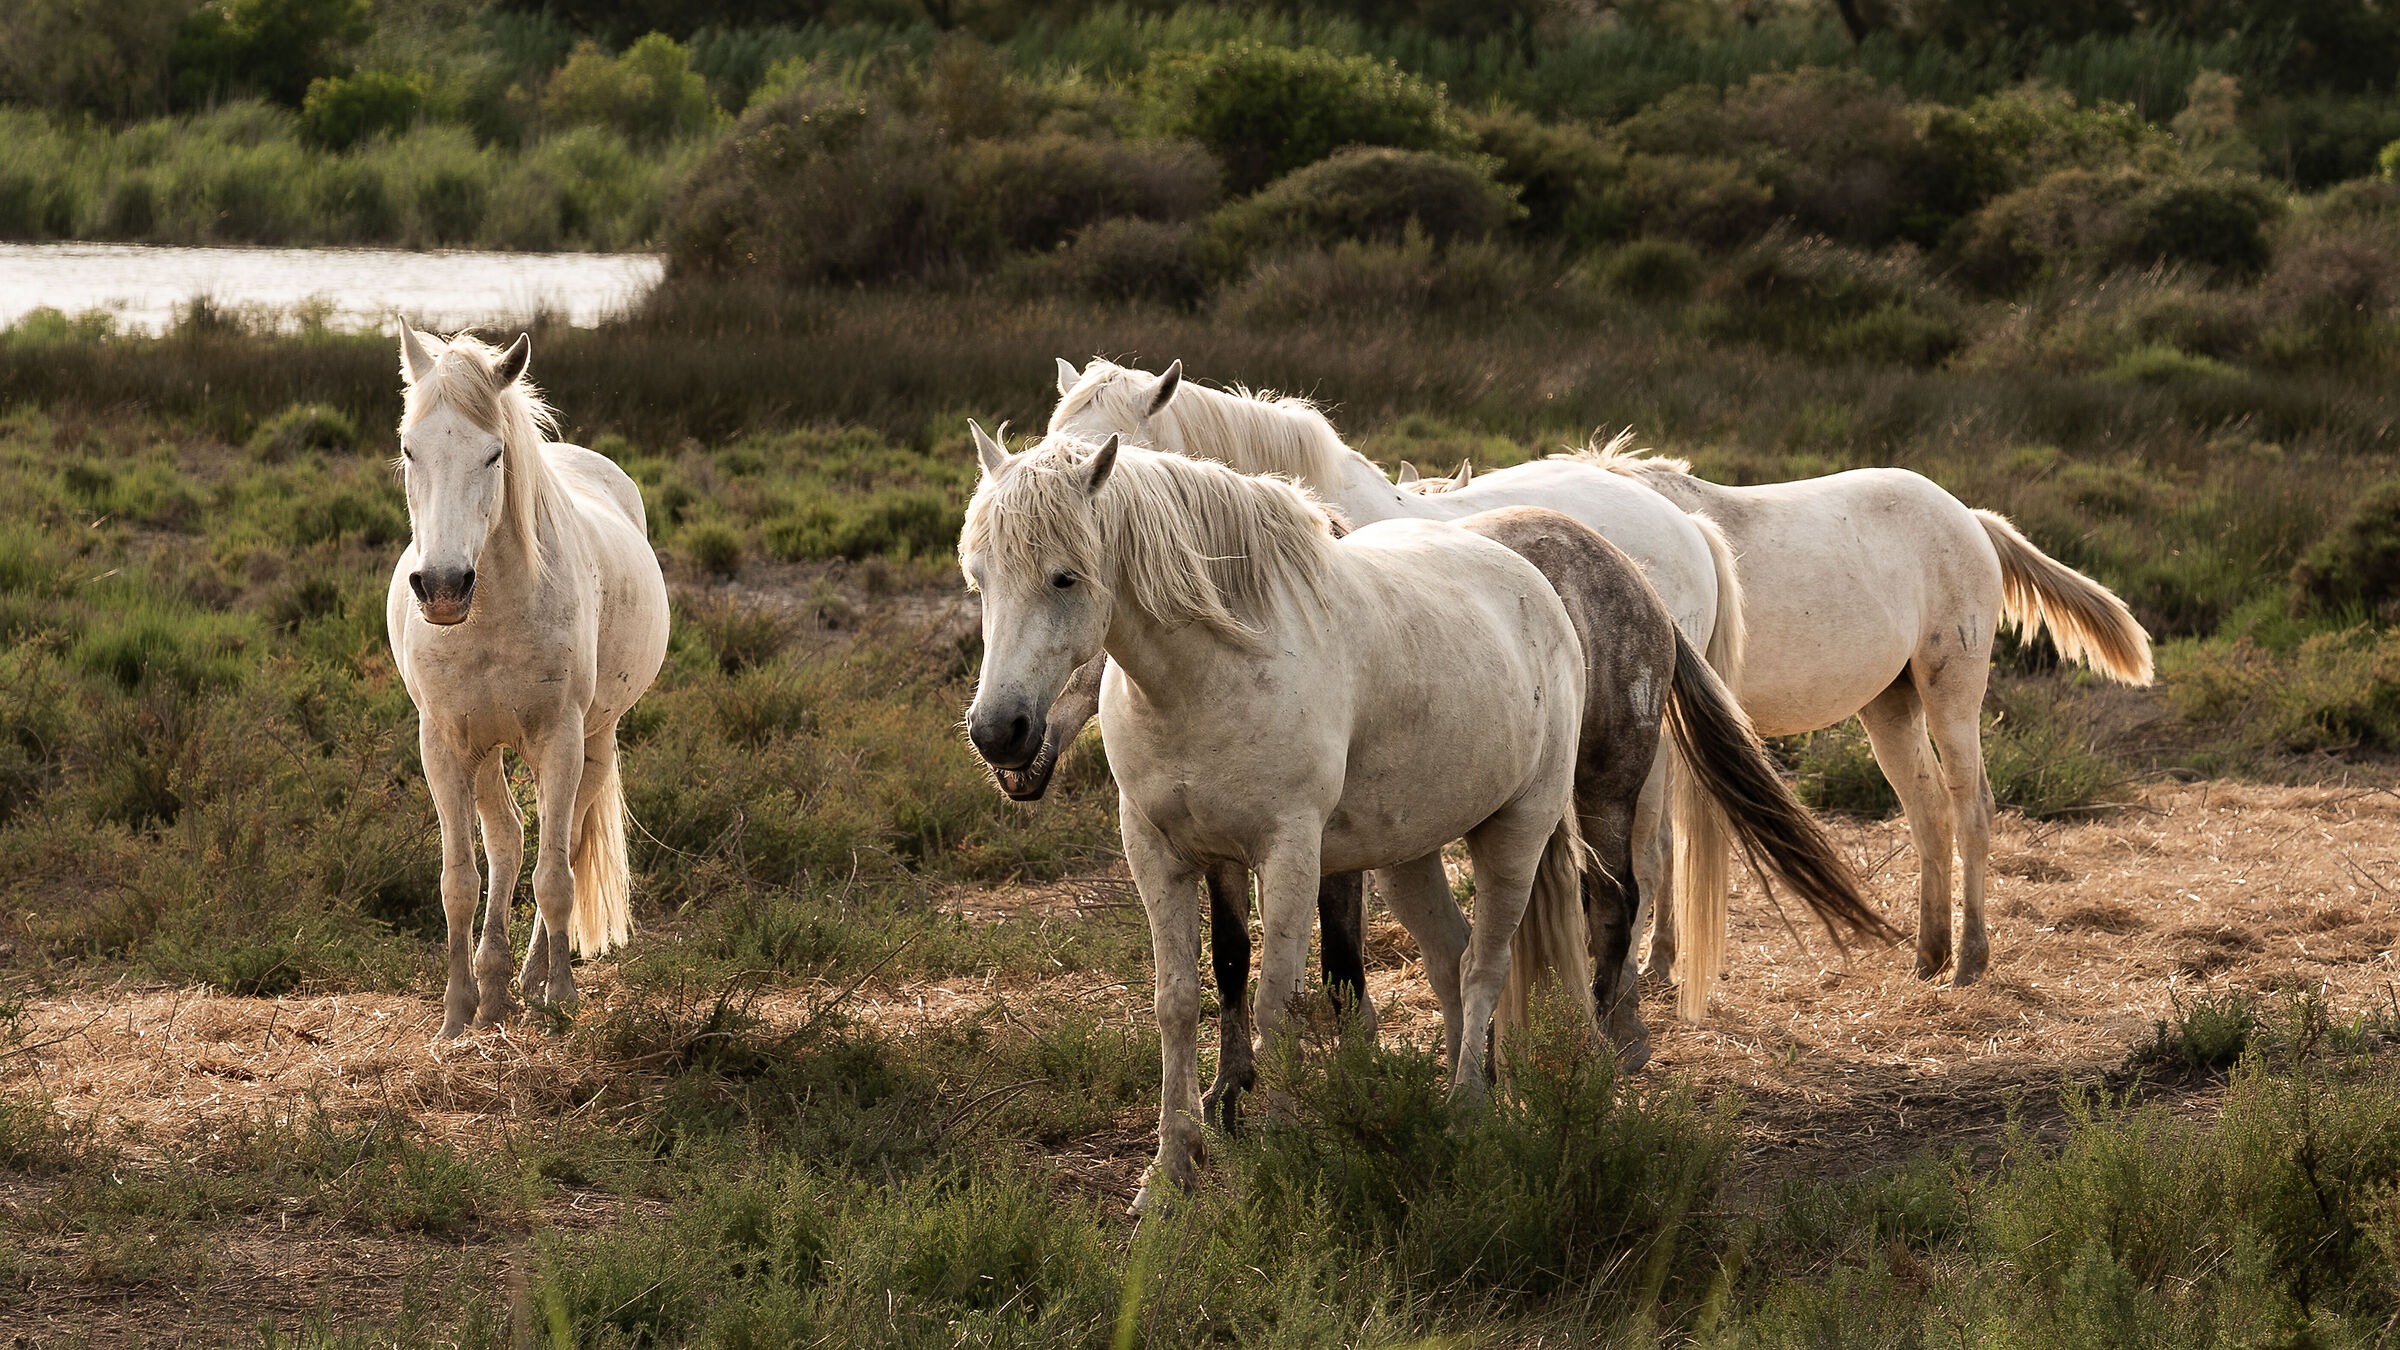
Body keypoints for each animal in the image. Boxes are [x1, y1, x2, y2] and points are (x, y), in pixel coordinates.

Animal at [386, 326, 669, 1038]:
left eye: (493, 455)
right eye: (409, 448)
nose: (442, 587)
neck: (490, 613)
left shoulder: (558, 738)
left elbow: (556, 877)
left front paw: (560, 997)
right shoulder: (444, 744)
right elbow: (460, 879)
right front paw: (458, 1009)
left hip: (595, 738)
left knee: (563, 841)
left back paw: (536, 978)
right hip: (487, 750)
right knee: (509, 840)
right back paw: (495, 989)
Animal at [960, 431, 1594, 1211]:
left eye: (1064, 578)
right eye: (978, 580)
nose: (999, 733)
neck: (1206, 676)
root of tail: (1533, 584)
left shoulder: (1288, 853)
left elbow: (1274, 1005)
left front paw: (1283, 1152)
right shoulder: (1158, 853)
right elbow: (1179, 1002)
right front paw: (1170, 1169)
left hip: (1515, 833)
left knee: (1484, 965)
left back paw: (1467, 1111)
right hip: (1405, 856)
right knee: (1451, 956)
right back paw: (1462, 1089)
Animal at [1585, 439, 2153, 1005]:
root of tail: (1969, 517)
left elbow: (1647, 848)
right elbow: (1664, 843)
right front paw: (1659, 963)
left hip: (1951, 694)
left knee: (1972, 808)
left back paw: (1968, 962)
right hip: (1890, 708)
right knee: (1930, 812)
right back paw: (1929, 957)